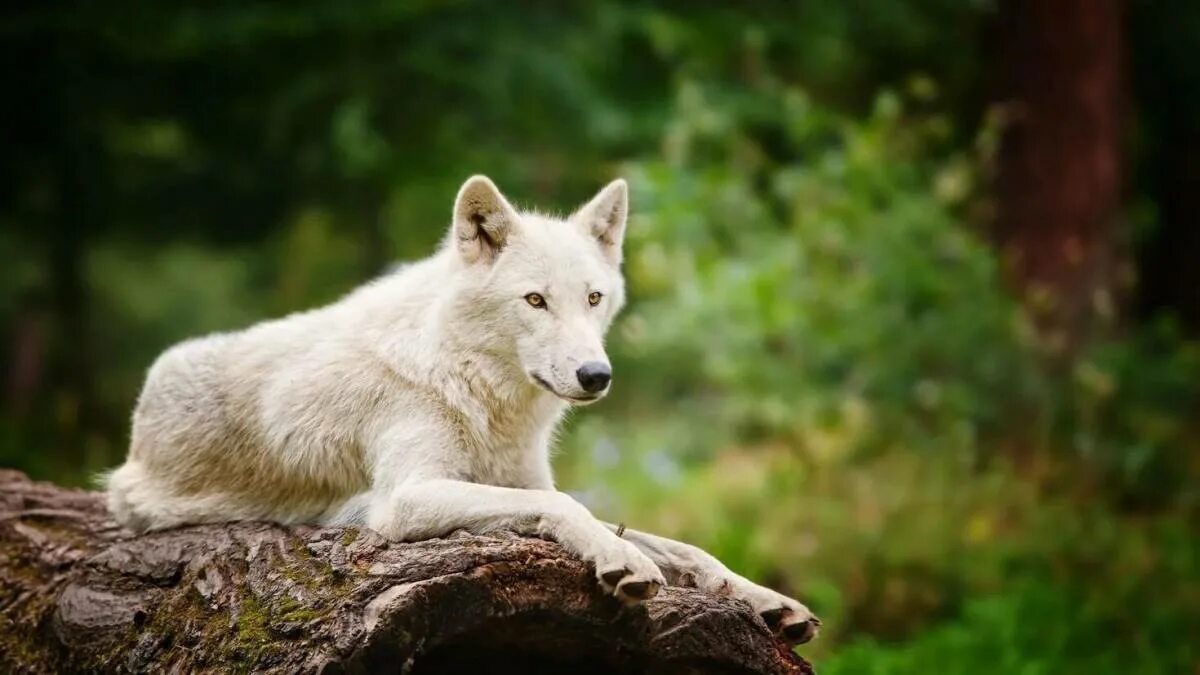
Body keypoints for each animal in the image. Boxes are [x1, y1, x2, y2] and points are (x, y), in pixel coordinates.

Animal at [105, 172, 816, 638]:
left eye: (592, 298)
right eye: (535, 300)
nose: (596, 375)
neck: (474, 387)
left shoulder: (521, 480)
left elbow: (686, 547)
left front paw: (766, 599)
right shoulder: (405, 499)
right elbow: (569, 507)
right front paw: (622, 561)